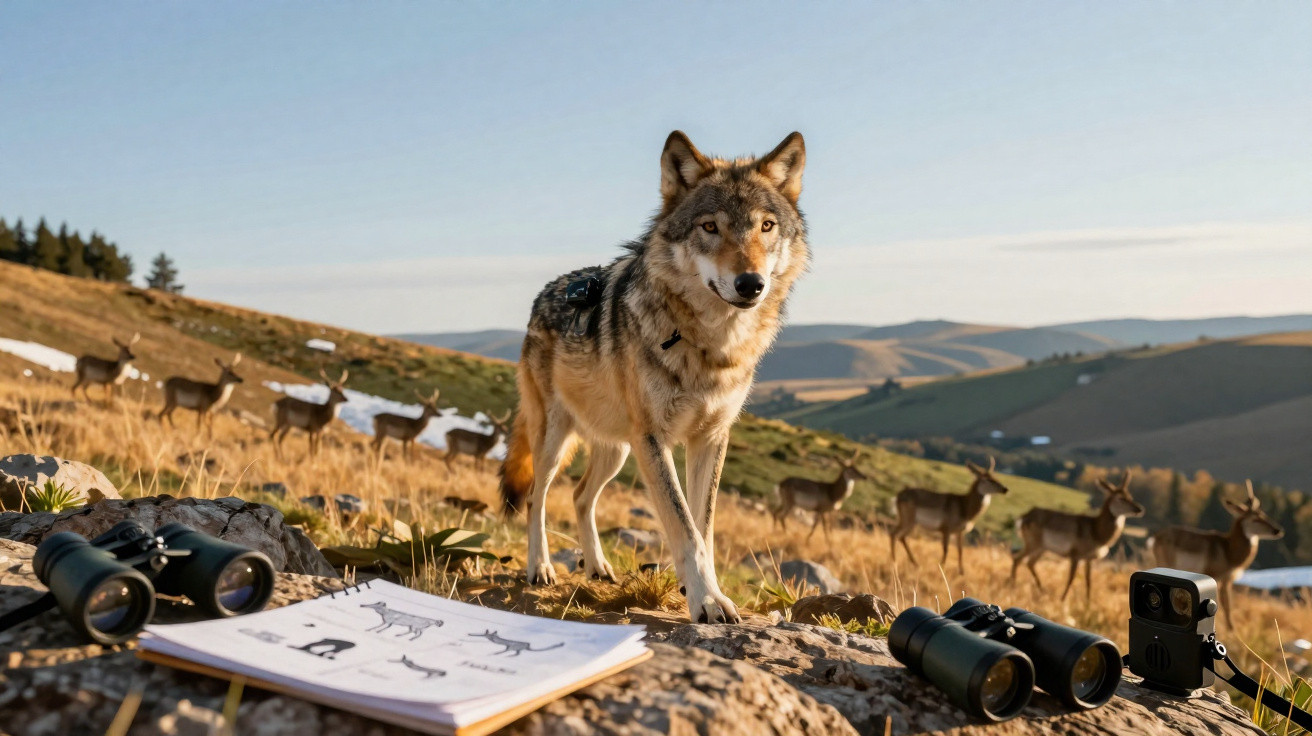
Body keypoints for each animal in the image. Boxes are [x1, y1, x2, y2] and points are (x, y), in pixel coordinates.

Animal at [499, 131, 809, 623]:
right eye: (709, 227)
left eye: (766, 226)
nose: (751, 284)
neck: (709, 347)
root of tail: (540, 297)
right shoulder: (654, 439)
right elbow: (684, 527)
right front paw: (707, 601)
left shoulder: (710, 438)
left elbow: (703, 528)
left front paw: (699, 590)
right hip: (557, 441)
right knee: (536, 497)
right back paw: (540, 568)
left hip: (617, 449)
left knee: (581, 496)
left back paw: (598, 567)